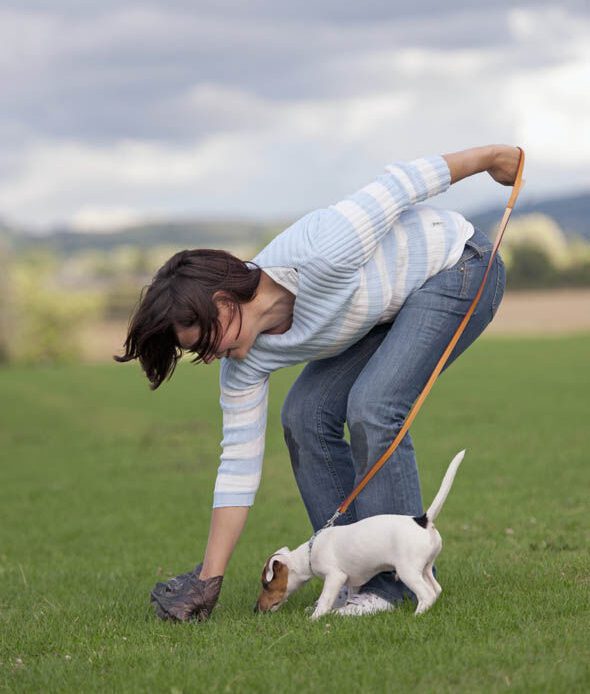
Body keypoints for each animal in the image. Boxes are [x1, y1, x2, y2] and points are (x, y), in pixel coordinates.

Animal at [254, 454, 468, 624]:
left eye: (266, 584)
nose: (255, 609)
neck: (308, 554)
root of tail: (423, 520)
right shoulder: (352, 581)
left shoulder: (335, 576)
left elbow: (324, 600)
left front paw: (314, 618)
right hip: (425, 568)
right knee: (436, 589)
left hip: (407, 570)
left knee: (427, 594)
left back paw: (417, 616)